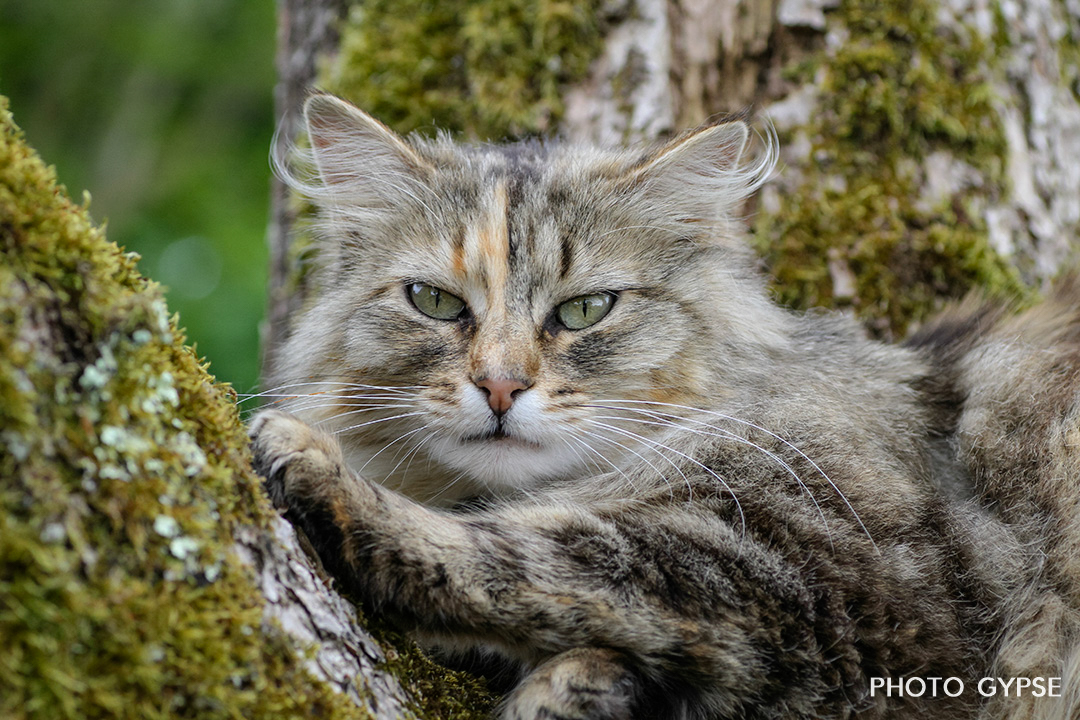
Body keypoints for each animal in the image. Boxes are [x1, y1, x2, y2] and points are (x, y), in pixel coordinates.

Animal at [249, 92, 1080, 719]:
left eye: (585, 310)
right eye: (435, 303)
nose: (501, 386)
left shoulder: (821, 581)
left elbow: (518, 553)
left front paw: (313, 462)